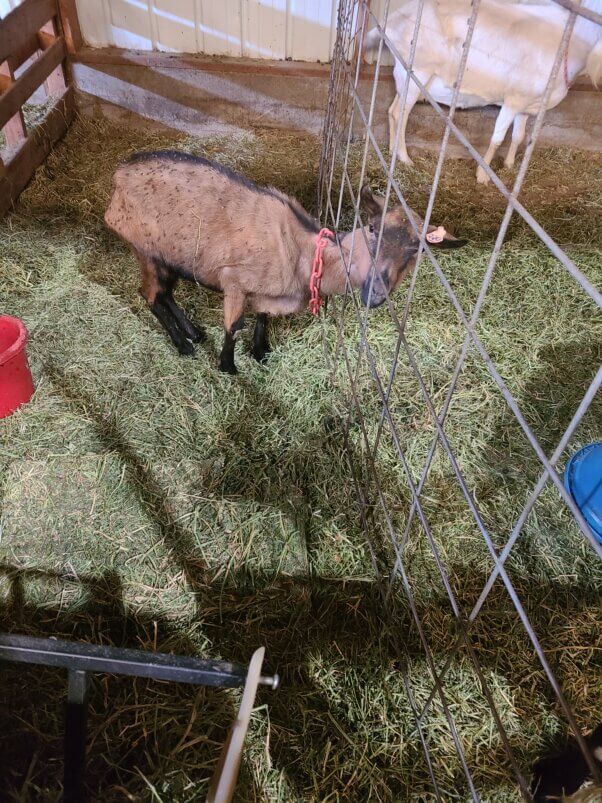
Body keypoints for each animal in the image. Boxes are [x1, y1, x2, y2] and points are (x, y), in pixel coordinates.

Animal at [104, 151, 466, 373]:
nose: (375, 293)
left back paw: (193, 332)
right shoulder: (234, 280)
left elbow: (263, 316)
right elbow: (234, 326)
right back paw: (183, 345)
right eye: (373, 227)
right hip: (146, 248)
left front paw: (260, 351)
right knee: (151, 296)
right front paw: (228, 367)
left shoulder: (267, 291)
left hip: (170, 257)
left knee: (165, 293)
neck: (305, 254)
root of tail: (119, 173)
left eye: (420, 250)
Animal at [364, 0, 602, 183]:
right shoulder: (513, 100)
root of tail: (392, 20)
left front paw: (508, 165)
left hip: (405, 76)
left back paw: (393, 151)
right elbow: (497, 138)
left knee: (392, 110)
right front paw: (483, 175)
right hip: (418, 71)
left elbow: (518, 136)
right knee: (400, 113)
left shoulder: (527, 105)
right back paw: (404, 158)